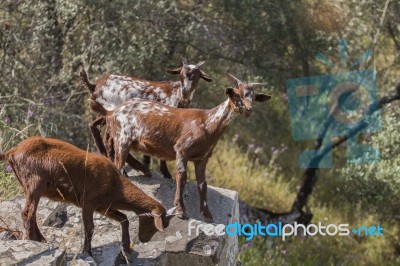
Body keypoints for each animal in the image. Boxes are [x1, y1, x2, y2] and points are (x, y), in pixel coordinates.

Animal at [0, 136, 177, 260]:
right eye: (156, 224)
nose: (144, 240)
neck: (115, 184)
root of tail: (12, 152)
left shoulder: (103, 206)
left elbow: (123, 218)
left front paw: (126, 248)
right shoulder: (88, 202)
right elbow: (90, 227)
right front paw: (88, 252)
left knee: (32, 213)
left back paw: (40, 240)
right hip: (34, 182)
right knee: (27, 212)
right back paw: (31, 239)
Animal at [80, 58, 214, 179]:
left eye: (196, 77)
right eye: (181, 75)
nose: (185, 92)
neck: (176, 95)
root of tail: (95, 86)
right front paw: (166, 173)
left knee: (94, 126)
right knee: (109, 140)